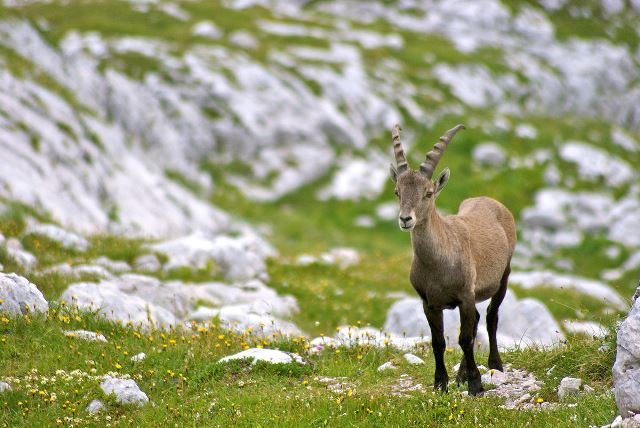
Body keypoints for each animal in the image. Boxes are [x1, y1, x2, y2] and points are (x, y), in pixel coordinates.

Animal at [388, 123, 516, 394]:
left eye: (428, 193)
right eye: (397, 191)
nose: (406, 219)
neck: (438, 264)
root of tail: (491, 200)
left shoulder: (465, 295)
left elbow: (465, 339)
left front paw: (476, 385)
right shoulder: (429, 302)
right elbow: (438, 341)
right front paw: (441, 383)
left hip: (504, 276)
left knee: (490, 317)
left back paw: (494, 365)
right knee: (477, 320)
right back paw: (461, 375)